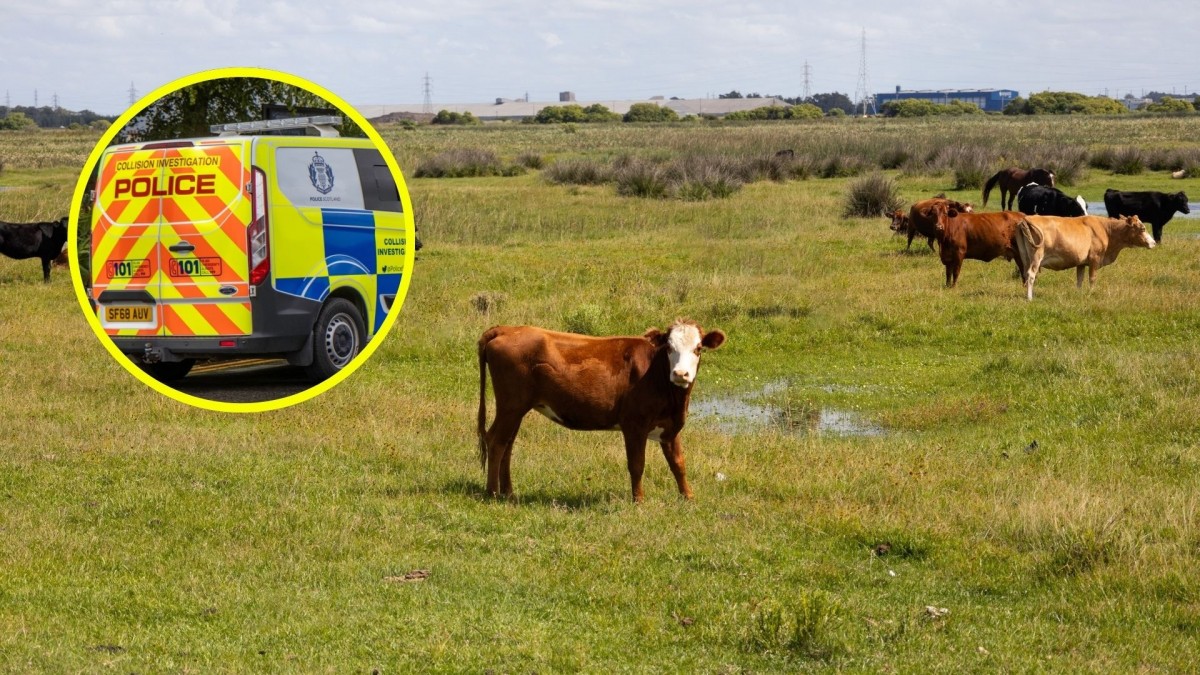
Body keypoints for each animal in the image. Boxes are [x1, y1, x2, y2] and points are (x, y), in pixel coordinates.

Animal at [477, 320, 726, 502]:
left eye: (698, 348)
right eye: (669, 348)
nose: (680, 374)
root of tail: (506, 329)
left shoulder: (670, 426)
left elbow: (678, 463)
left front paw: (688, 497)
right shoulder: (634, 424)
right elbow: (637, 464)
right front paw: (639, 501)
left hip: (516, 409)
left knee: (507, 444)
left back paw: (509, 492)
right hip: (511, 406)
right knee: (496, 442)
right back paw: (493, 492)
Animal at [1014, 215, 1155, 300]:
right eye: (1142, 228)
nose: (1153, 242)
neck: (1107, 230)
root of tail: (1028, 218)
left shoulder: (1081, 262)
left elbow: (1079, 279)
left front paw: (1078, 294)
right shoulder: (1095, 259)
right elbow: (1092, 278)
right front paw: (1091, 293)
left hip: (1025, 258)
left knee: (1025, 274)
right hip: (1036, 257)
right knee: (1031, 275)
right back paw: (1030, 298)